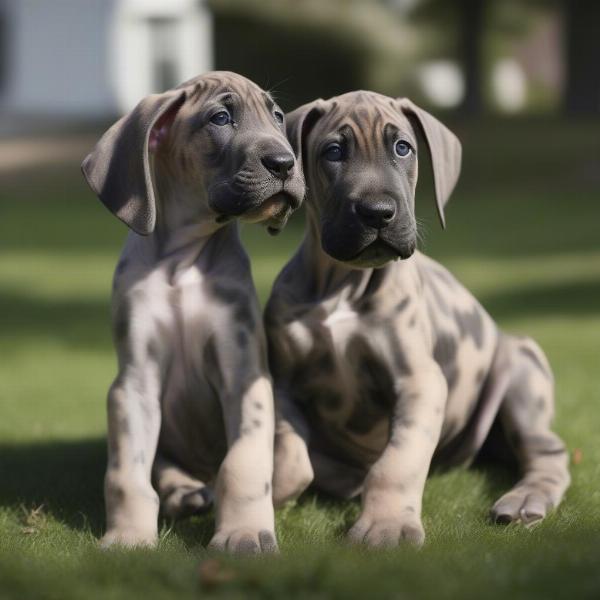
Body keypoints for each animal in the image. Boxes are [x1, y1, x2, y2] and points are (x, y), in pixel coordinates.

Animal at [81, 71, 304, 552]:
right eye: (220, 118)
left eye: (277, 116)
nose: (285, 163)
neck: (182, 265)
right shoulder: (134, 383)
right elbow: (127, 474)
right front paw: (128, 537)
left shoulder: (243, 374)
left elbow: (243, 463)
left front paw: (244, 531)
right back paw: (185, 493)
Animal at [264, 91, 568, 548]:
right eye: (333, 152)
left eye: (402, 148)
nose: (377, 213)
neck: (343, 286)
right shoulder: (282, 382)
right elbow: (291, 457)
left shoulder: (419, 381)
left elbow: (396, 462)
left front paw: (386, 526)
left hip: (522, 375)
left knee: (548, 453)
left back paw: (524, 499)